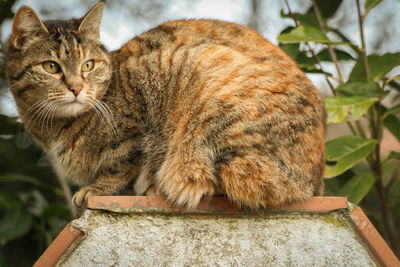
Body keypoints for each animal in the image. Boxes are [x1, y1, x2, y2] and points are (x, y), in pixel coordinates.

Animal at [6, 2, 324, 211]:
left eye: (88, 65)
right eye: (51, 67)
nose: (76, 87)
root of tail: (313, 184)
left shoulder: (134, 129)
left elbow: (119, 165)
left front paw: (97, 189)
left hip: (208, 82)